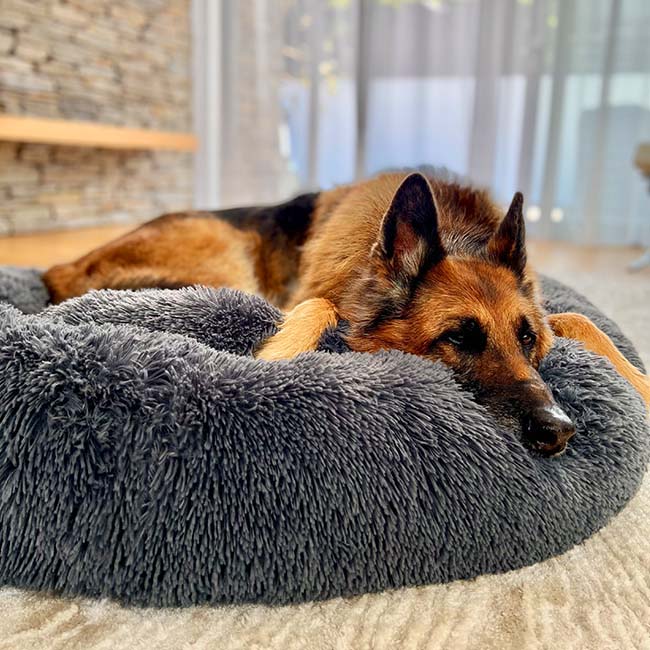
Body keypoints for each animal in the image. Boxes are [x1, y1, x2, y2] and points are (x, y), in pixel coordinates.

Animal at [43, 172, 644, 456]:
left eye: (527, 341)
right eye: (458, 338)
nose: (558, 430)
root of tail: (60, 268)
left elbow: (583, 322)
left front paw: (640, 382)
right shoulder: (315, 297)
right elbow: (315, 308)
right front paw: (264, 365)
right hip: (226, 255)